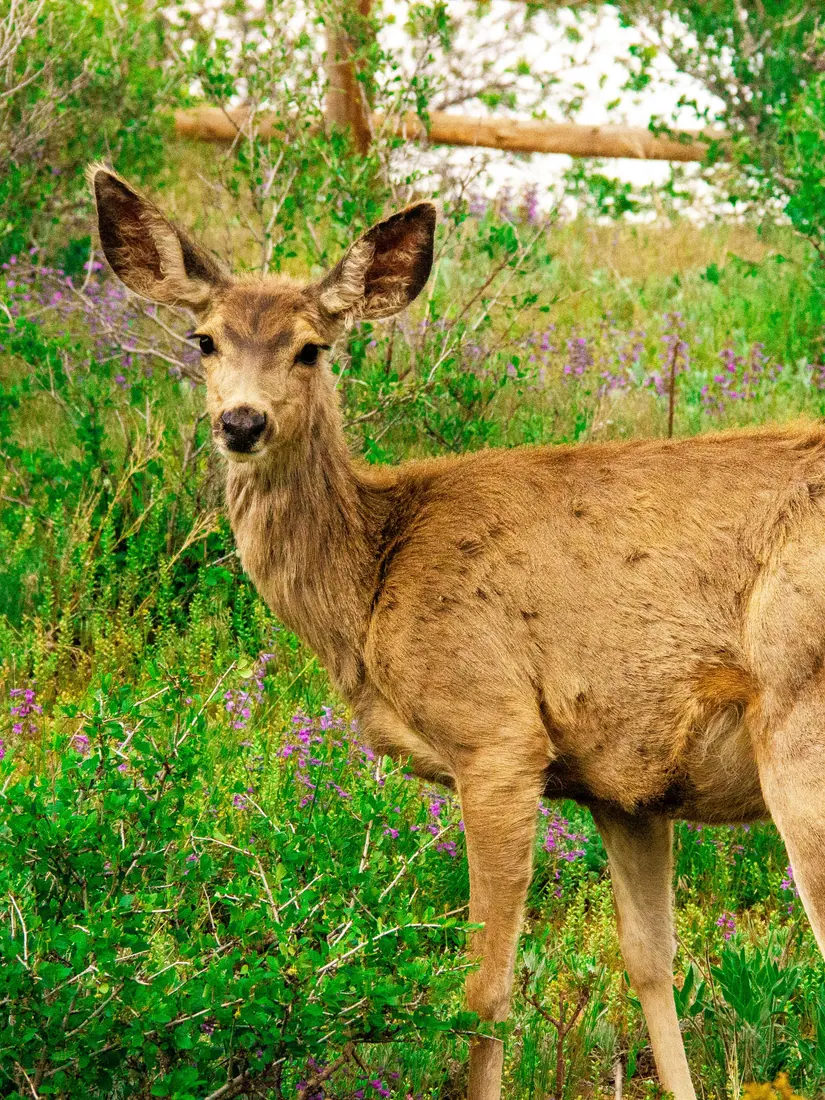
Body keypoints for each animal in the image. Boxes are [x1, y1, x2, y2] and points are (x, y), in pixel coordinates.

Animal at [89, 164, 825, 1100]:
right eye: (204, 341)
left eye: (311, 347)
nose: (242, 423)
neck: (373, 576)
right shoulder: (624, 781)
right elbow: (650, 961)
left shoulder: (497, 735)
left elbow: (481, 990)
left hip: (800, 725)